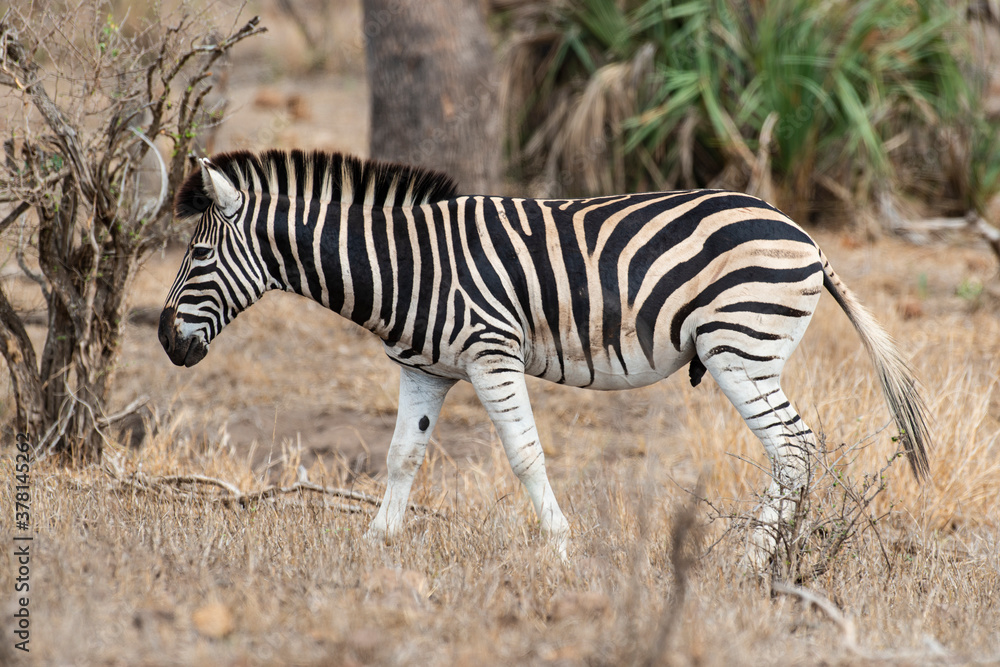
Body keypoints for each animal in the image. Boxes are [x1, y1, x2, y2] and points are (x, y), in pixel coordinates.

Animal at [158, 149, 930, 565]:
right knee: (795, 451)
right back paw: (777, 561)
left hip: (738, 349)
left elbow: (525, 454)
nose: (166, 341)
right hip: (747, 352)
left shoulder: (491, 353)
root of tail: (805, 237)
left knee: (795, 447)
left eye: (199, 256)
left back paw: (750, 563)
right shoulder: (424, 369)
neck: (407, 266)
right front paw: (376, 542)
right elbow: (402, 456)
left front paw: (561, 547)